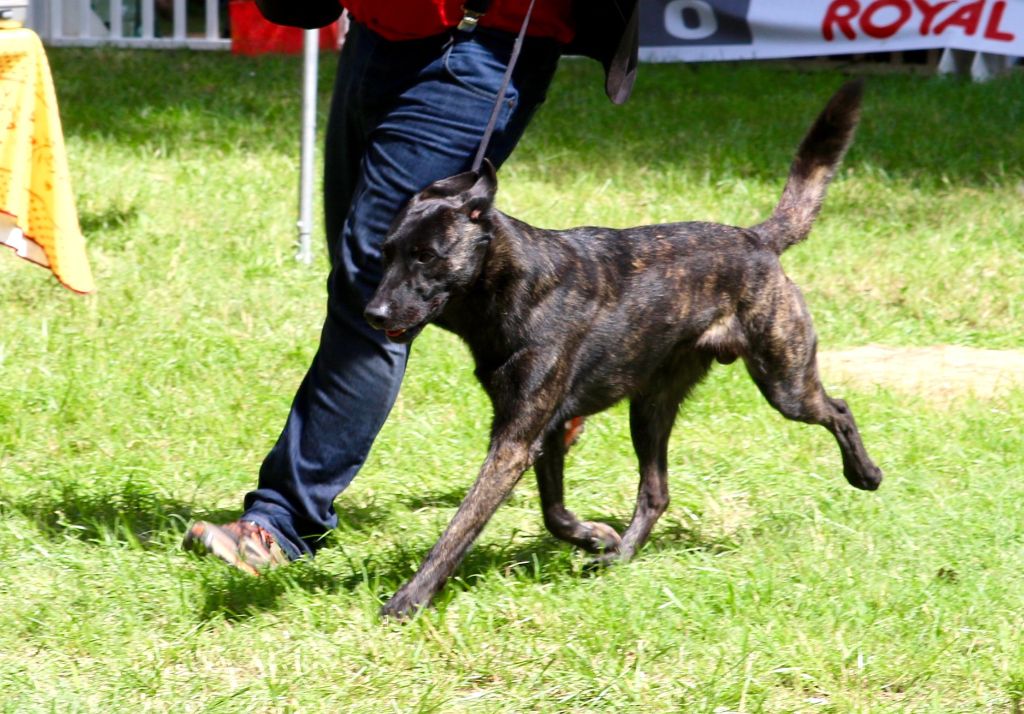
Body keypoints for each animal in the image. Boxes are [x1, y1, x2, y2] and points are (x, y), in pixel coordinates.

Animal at [362, 79, 880, 618]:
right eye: (387, 253)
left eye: (427, 256)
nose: (372, 314)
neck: (511, 284)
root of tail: (756, 239)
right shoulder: (544, 429)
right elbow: (552, 511)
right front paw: (593, 536)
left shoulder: (514, 441)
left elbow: (461, 526)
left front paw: (410, 598)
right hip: (650, 407)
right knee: (656, 492)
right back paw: (621, 555)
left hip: (784, 382)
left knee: (839, 409)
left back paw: (865, 473)